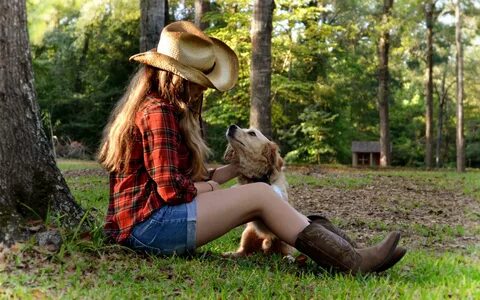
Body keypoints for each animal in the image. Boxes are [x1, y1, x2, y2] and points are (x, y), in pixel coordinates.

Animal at [223, 124, 294, 258]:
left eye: (252, 133)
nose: (231, 126)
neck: (257, 177)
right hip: (248, 233)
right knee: (244, 251)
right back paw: (230, 254)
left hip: (284, 240)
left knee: (285, 252)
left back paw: (288, 258)